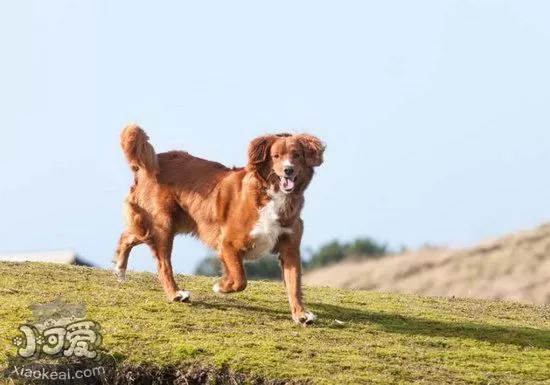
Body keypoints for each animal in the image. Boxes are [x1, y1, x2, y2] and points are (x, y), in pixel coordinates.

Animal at [114, 124, 326, 324]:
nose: (288, 170)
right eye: (276, 156)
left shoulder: (289, 247)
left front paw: (300, 314)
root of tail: (147, 164)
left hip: (165, 224)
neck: (271, 195)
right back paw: (174, 293)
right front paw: (222, 286)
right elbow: (240, 279)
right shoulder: (228, 243)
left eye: (296, 155)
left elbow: (294, 284)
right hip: (163, 225)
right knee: (162, 264)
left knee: (128, 236)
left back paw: (120, 270)